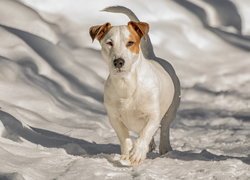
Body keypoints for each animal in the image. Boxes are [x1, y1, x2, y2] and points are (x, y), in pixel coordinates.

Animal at [89, 5, 180, 166]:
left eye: (130, 43)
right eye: (109, 43)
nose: (118, 62)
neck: (127, 84)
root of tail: (153, 57)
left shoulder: (153, 115)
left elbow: (146, 133)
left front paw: (137, 153)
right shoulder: (114, 118)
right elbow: (124, 138)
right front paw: (126, 155)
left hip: (171, 109)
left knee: (164, 128)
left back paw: (164, 147)